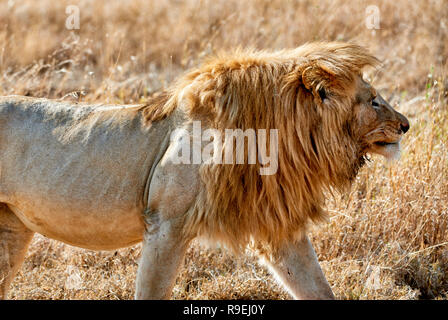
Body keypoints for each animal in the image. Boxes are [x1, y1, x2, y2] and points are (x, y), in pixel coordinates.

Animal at [0, 41, 408, 298]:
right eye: (374, 101)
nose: (405, 125)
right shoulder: (165, 224)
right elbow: (152, 291)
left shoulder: (278, 225)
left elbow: (316, 286)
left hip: (12, 229)